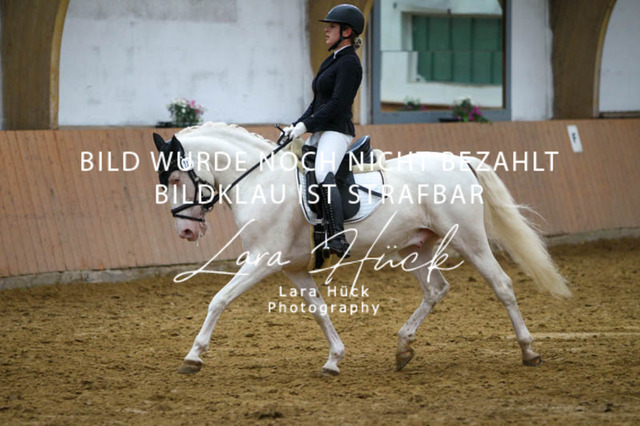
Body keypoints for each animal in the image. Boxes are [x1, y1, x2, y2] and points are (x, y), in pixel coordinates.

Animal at [151, 122, 571, 375]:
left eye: (176, 178)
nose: (185, 231)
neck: (261, 179)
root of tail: (459, 160)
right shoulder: (292, 268)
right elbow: (319, 310)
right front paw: (334, 359)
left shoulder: (261, 261)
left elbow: (219, 300)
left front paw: (193, 356)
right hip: (415, 248)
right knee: (436, 289)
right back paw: (403, 349)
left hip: (468, 239)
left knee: (501, 285)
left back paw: (529, 351)